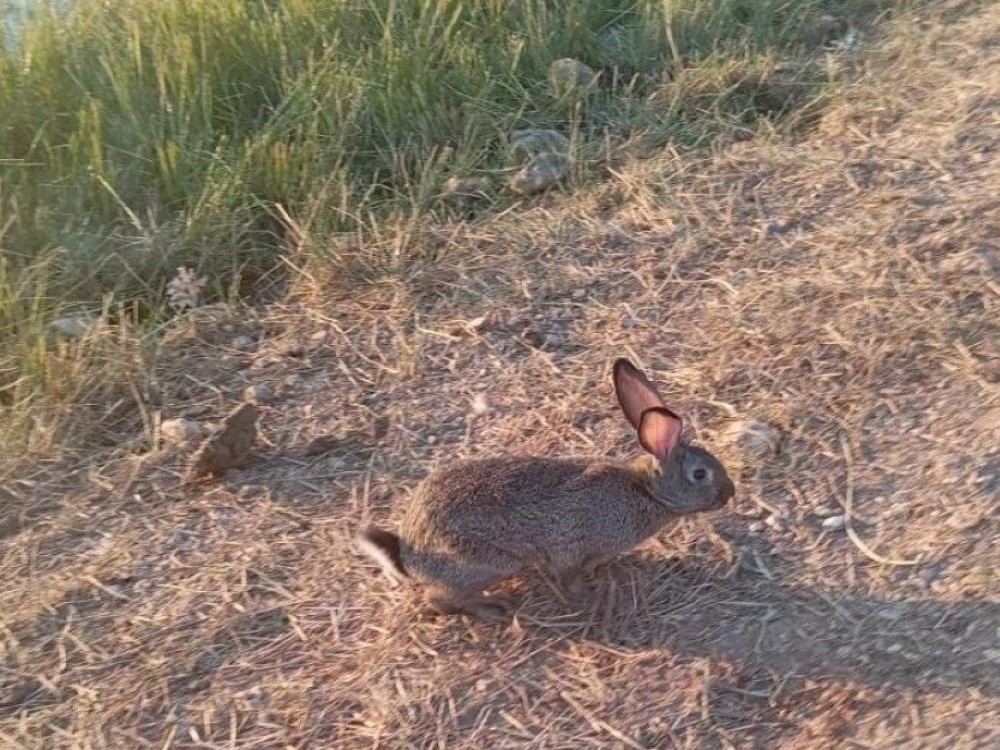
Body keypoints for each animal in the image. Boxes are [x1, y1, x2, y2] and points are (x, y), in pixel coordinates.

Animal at [356, 358, 735, 622]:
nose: (728, 494)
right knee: (440, 600)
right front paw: (591, 598)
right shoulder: (571, 549)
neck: (647, 491)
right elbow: (571, 578)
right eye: (700, 474)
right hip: (486, 563)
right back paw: (493, 608)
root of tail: (409, 557)